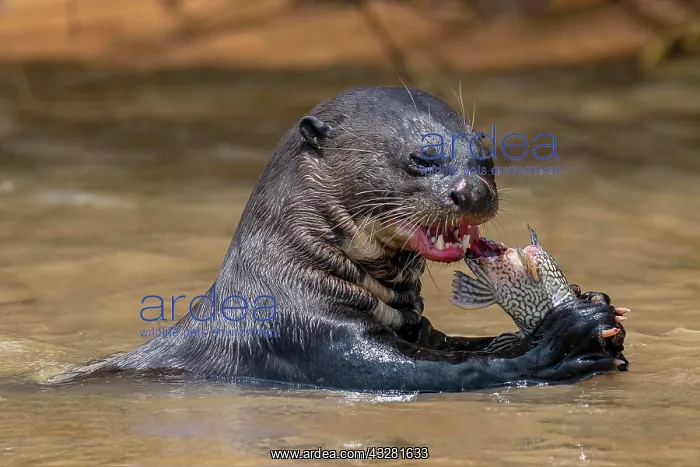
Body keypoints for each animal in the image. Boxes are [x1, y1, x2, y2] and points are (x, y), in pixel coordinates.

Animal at [51, 87, 626, 392]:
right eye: (422, 157)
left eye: (486, 157)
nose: (474, 192)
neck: (289, 279)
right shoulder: (307, 335)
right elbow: (449, 369)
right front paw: (564, 338)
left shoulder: (415, 329)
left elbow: (461, 347)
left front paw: (594, 305)